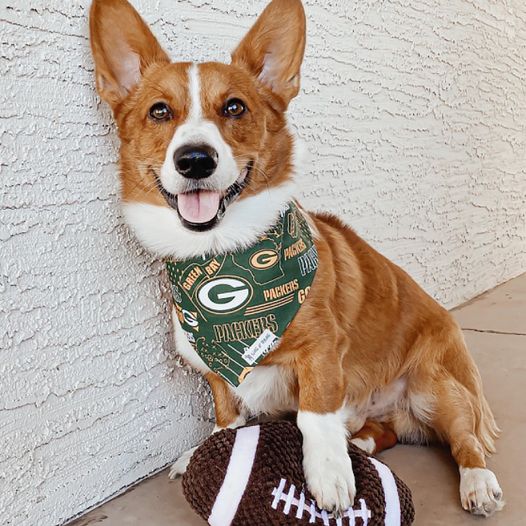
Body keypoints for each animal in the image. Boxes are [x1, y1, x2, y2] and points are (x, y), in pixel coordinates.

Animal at [92, 0, 508, 520]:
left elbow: (315, 414)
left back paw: (477, 482)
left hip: (436, 384)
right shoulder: (212, 367)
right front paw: (209, 450)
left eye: (235, 107)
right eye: (159, 111)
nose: (195, 159)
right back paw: (363, 441)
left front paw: (329, 476)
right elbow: (226, 414)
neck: (225, 258)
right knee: (388, 432)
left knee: (464, 439)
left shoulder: (321, 353)